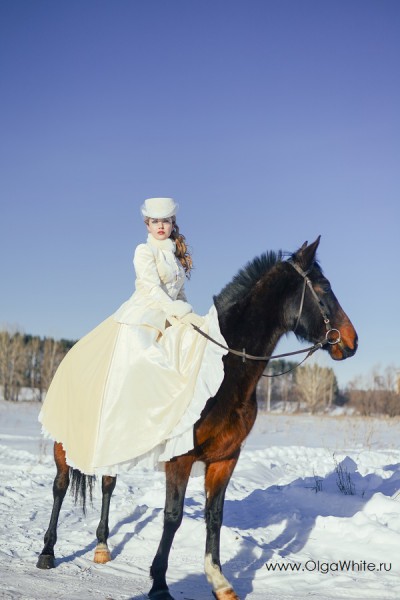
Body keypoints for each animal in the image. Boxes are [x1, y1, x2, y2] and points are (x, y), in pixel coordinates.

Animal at [36, 239, 358, 600]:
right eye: (324, 287)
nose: (351, 341)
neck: (225, 369)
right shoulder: (181, 457)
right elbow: (173, 517)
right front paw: (160, 584)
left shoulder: (225, 458)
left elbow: (214, 516)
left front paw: (219, 581)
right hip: (64, 444)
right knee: (60, 486)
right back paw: (47, 552)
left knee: (107, 483)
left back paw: (102, 546)